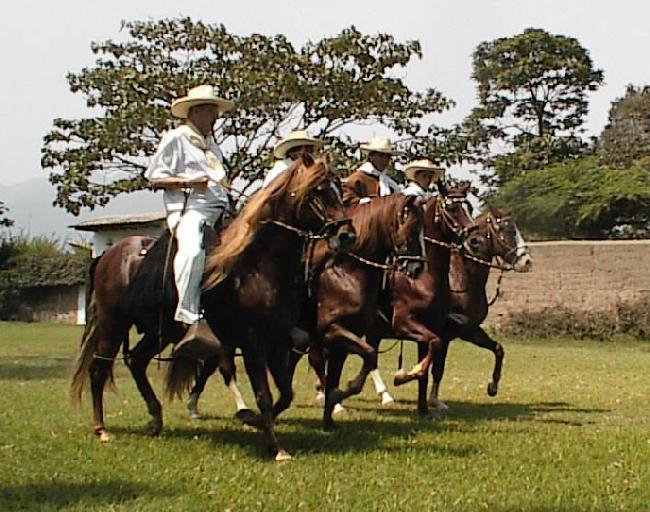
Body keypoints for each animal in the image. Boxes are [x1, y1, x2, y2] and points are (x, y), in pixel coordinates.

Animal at [70, 155, 355, 461]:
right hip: (113, 324)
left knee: (136, 360)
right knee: (99, 370)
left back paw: (155, 419)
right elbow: (265, 396)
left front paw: (253, 421)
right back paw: (101, 429)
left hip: (161, 332)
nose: (347, 235)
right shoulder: (253, 343)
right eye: (318, 191)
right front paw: (275, 447)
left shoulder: (278, 342)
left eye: (339, 187)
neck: (258, 266)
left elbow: (285, 394)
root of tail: (108, 253)